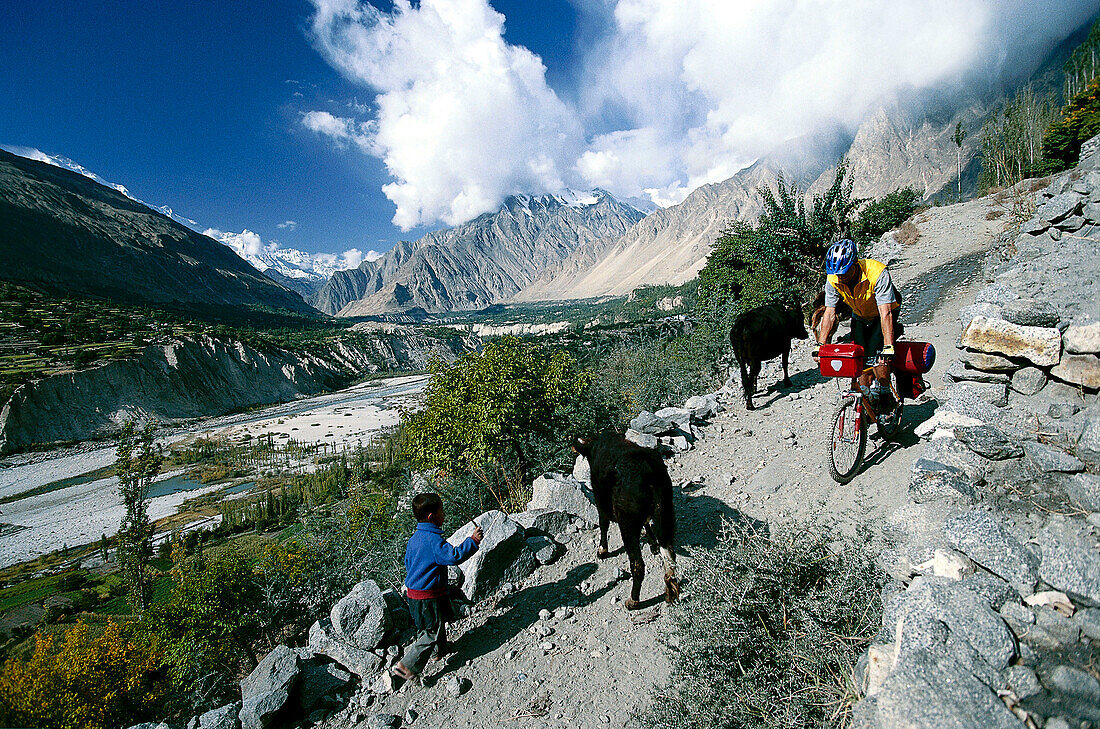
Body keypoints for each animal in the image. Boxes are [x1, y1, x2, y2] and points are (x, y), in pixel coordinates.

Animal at [572, 433, 673, 611]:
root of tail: (649, 473)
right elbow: (647, 523)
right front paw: (652, 543)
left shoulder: (600, 500)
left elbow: (603, 524)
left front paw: (602, 550)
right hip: (665, 512)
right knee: (670, 556)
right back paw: (670, 593)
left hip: (627, 523)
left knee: (638, 564)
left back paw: (633, 601)